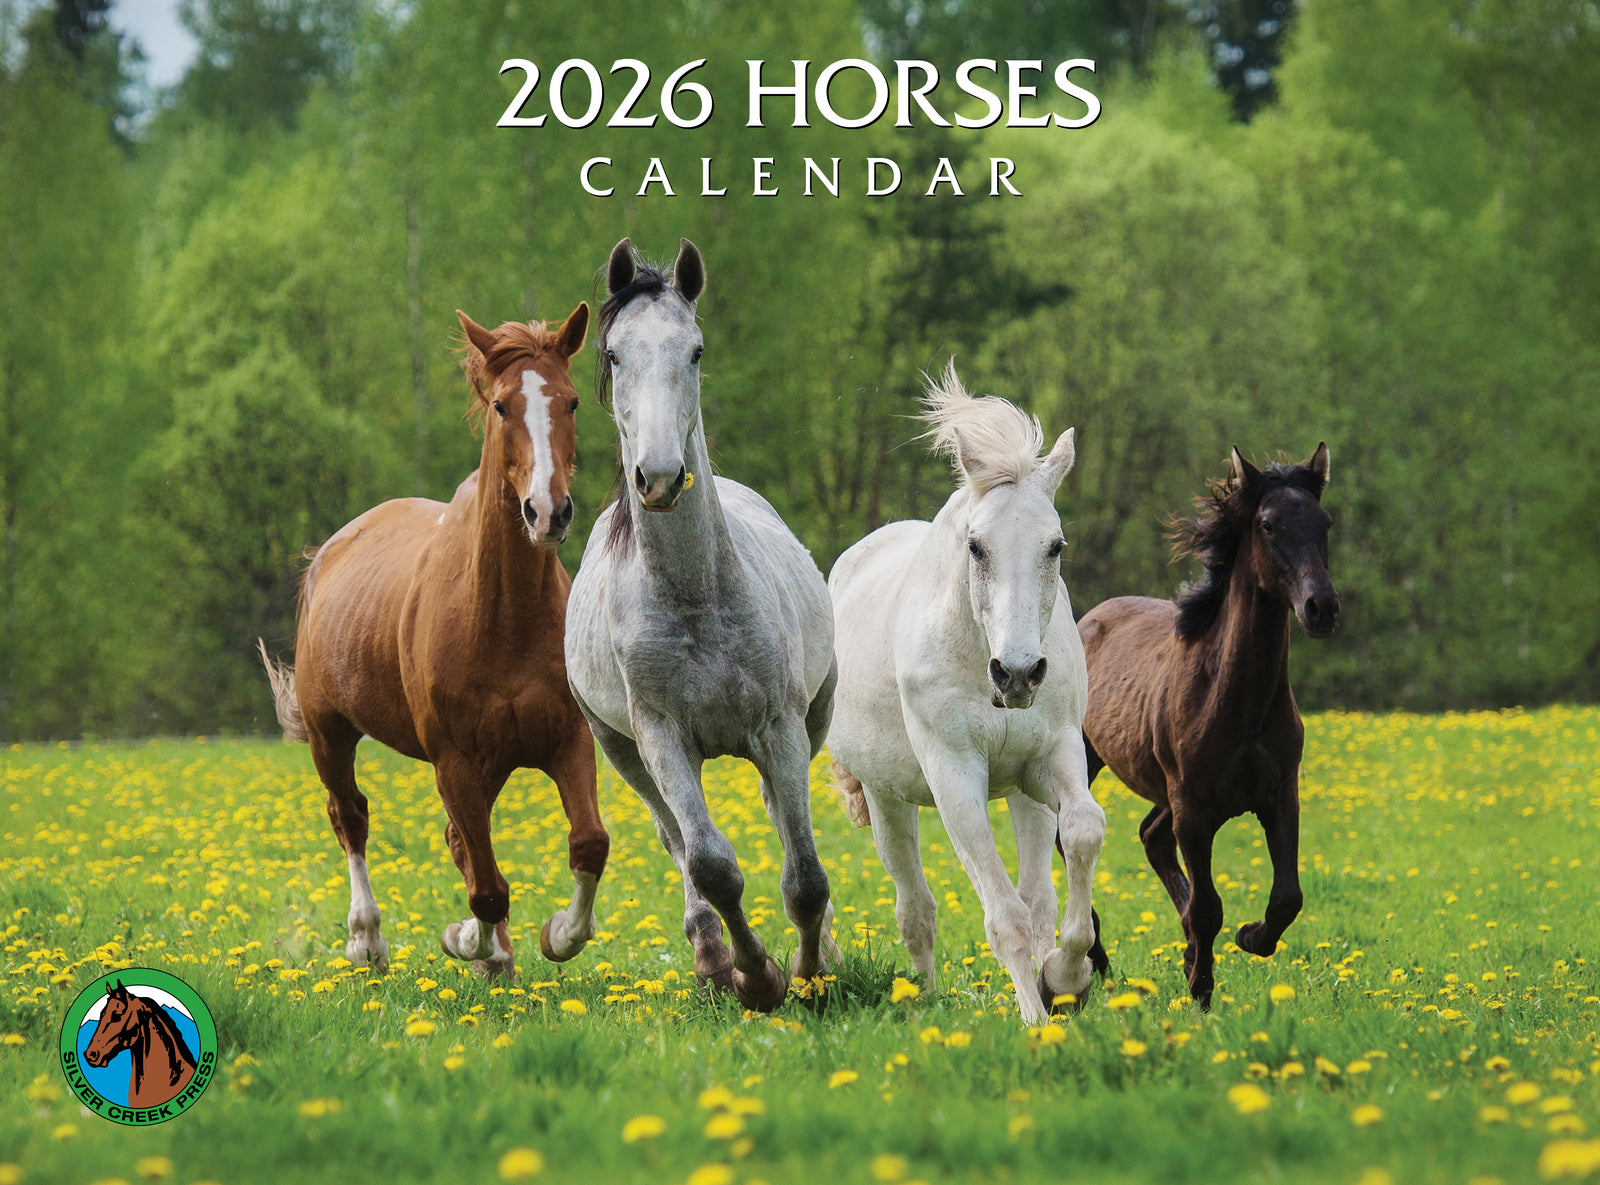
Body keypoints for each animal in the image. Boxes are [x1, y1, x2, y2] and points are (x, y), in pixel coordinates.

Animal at [258, 302, 608, 979]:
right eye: (501, 406)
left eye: (574, 401)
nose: (548, 512)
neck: (503, 617)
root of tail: (327, 555)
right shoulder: (453, 761)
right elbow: (488, 887)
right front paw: (469, 941)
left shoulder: (567, 740)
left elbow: (588, 843)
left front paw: (555, 935)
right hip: (330, 734)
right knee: (351, 817)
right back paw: (368, 941)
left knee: (458, 842)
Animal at [565, 238, 837, 1013]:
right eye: (614, 353)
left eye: (695, 350)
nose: (658, 476)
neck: (695, 597)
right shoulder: (660, 736)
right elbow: (712, 864)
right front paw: (755, 976)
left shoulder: (780, 726)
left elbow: (805, 876)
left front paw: (808, 974)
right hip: (623, 752)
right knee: (677, 841)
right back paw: (712, 957)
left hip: (810, 723)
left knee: (780, 816)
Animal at [828, 363, 1108, 1026]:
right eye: (976, 546)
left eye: (1055, 546)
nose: (1019, 673)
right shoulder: (956, 780)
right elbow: (1004, 915)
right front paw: (1036, 1019)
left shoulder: (1051, 758)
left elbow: (1083, 830)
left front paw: (1065, 976)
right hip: (886, 801)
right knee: (915, 908)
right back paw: (926, 998)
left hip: (1024, 796)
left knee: (1037, 892)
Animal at [1077, 444, 1338, 1007]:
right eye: (1267, 524)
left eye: (1325, 522)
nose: (1322, 607)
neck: (1238, 702)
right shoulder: (1193, 808)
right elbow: (1207, 906)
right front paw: (1201, 991)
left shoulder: (1279, 796)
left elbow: (1287, 896)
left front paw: (1248, 938)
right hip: (1086, 760)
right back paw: (1096, 956)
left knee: (1151, 835)